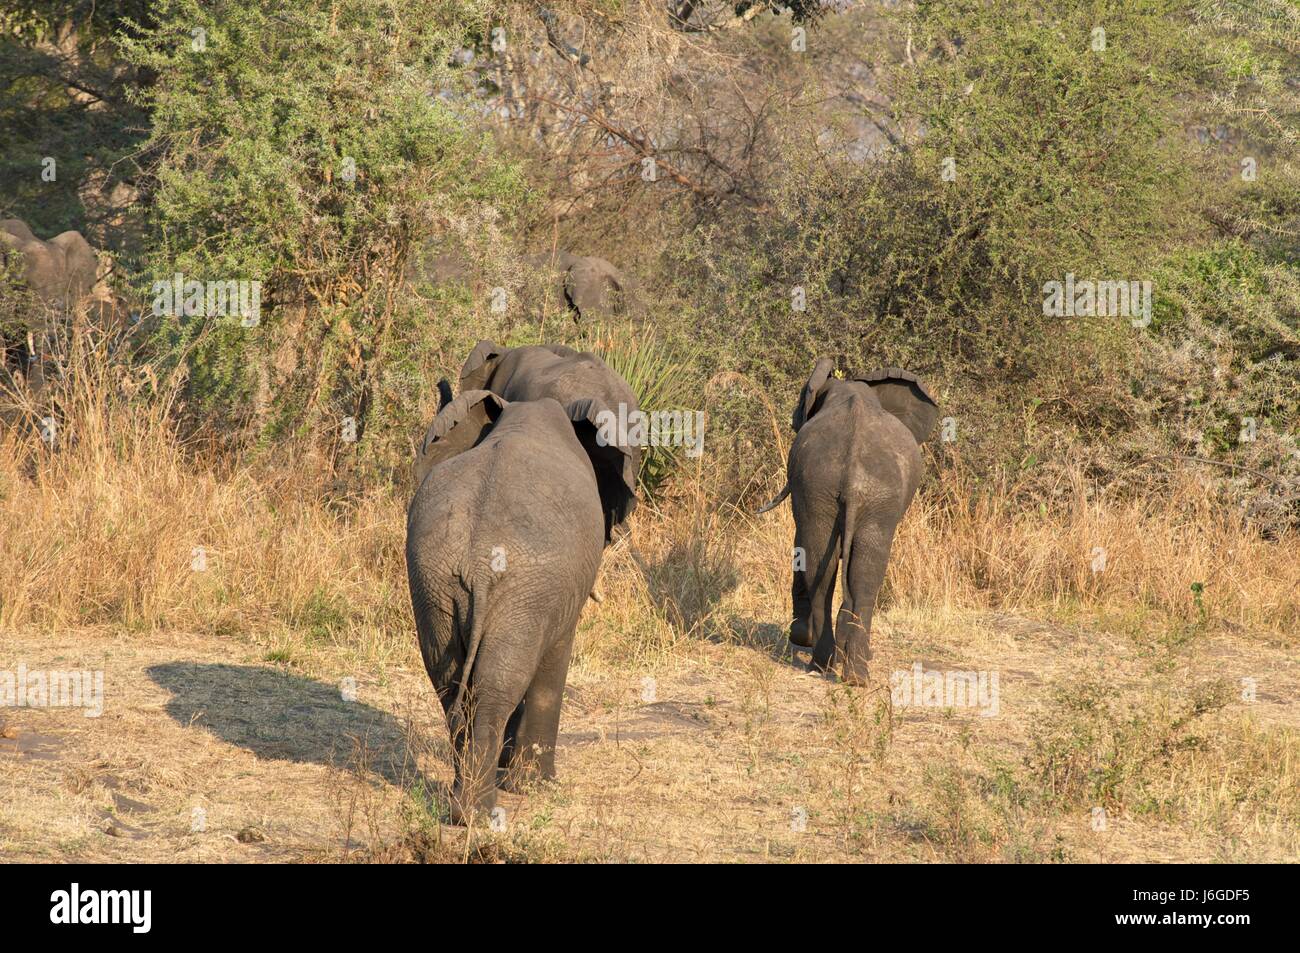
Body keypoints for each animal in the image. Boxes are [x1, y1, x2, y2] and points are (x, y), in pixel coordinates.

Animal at [400, 384, 634, 816]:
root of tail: (477, 560)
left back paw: (461, 806)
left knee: (450, 680)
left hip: (433, 577)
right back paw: (480, 810)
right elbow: (555, 660)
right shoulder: (556, 592)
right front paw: (536, 785)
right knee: (495, 686)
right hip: (523, 588)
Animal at [759, 358, 941, 686]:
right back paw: (844, 669)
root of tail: (853, 473)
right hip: (845, 490)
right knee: (856, 571)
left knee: (833, 566)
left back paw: (834, 667)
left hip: (842, 489)